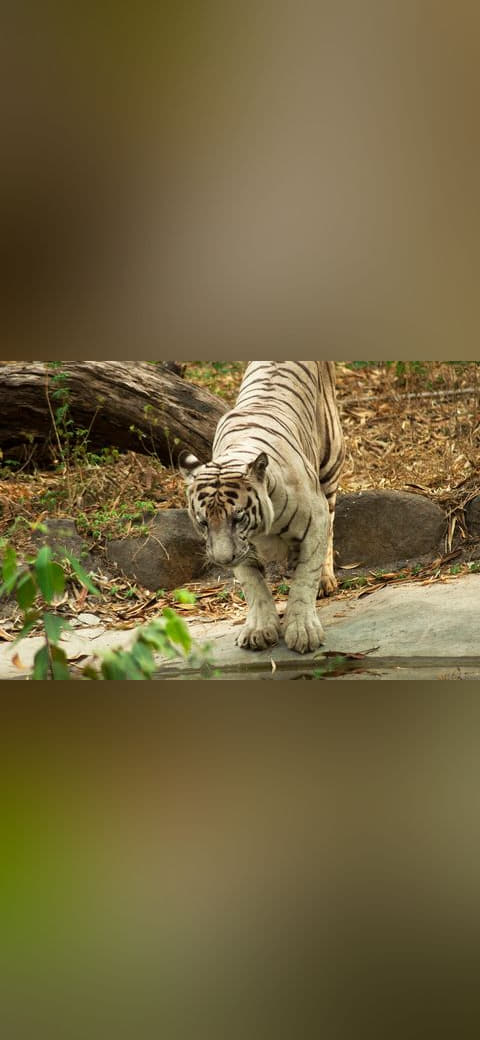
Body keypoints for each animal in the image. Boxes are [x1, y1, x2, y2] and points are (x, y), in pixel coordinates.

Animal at [180, 361, 345, 654]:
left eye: (238, 518)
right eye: (203, 522)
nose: (222, 560)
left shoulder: (315, 521)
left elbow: (305, 579)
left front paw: (303, 632)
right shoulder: (240, 550)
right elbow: (253, 586)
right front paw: (259, 631)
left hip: (330, 462)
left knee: (331, 523)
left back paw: (326, 580)